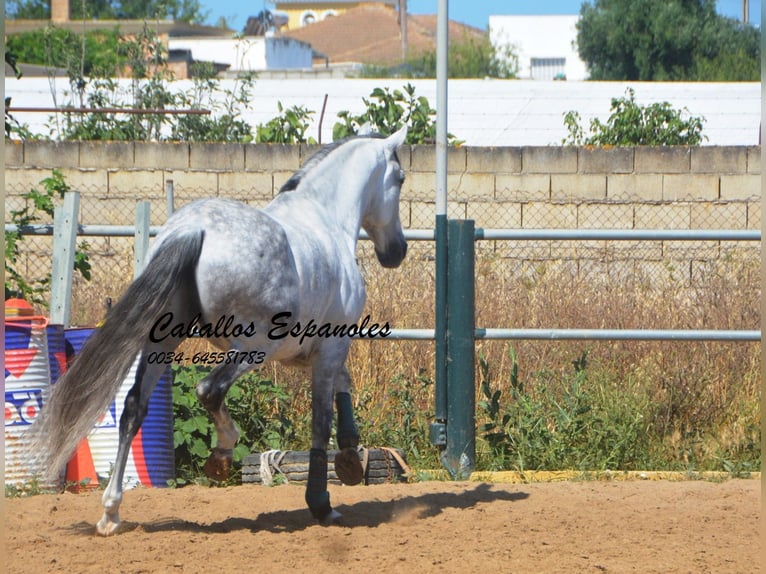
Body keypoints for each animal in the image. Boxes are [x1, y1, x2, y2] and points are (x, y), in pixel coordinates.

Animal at [27, 126, 409, 536]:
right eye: (400, 179)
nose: (397, 251)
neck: (325, 218)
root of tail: (193, 229)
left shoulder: (313, 353)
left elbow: (344, 386)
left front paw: (351, 457)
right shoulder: (331, 347)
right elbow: (322, 421)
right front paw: (322, 503)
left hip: (162, 342)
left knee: (134, 406)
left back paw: (111, 513)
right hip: (251, 348)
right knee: (208, 390)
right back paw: (222, 454)